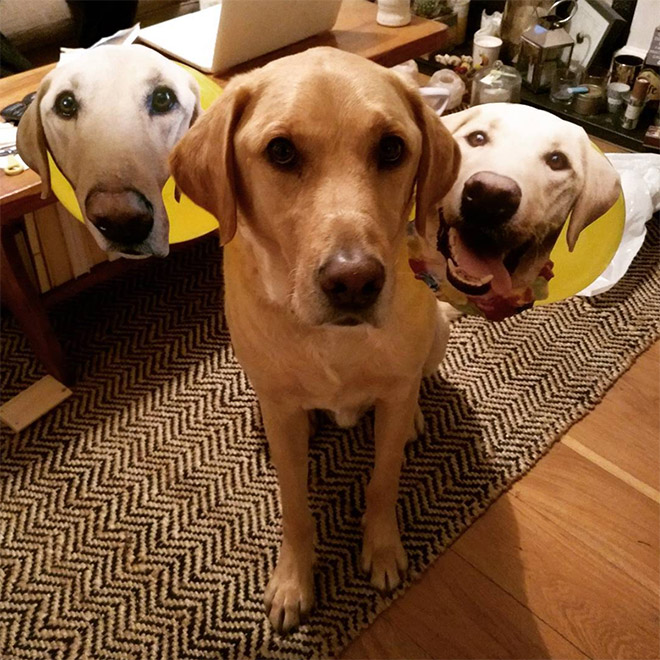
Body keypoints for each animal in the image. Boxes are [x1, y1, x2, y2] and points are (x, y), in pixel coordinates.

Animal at [170, 49, 458, 632]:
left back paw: (416, 416)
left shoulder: (392, 397)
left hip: (436, 331)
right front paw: (292, 581)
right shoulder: (283, 414)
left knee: (415, 384)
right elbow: (295, 506)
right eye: (281, 151)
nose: (355, 281)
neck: (332, 341)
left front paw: (383, 549)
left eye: (392, 148)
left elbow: (383, 479)